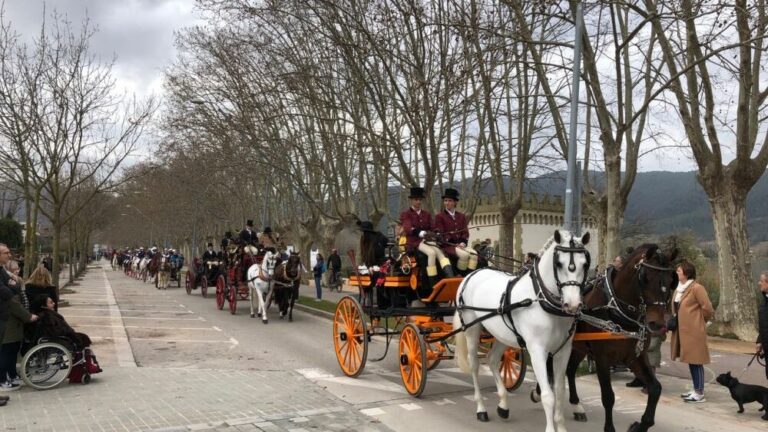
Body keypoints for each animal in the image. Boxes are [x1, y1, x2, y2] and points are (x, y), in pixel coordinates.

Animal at [452, 231, 592, 430]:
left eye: (585, 263)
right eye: (559, 263)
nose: (572, 304)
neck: (542, 300)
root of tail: (472, 274)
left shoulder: (563, 351)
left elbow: (559, 392)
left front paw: (562, 426)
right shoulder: (537, 351)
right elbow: (548, 396)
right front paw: (551, 428)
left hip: (502, 335)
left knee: (492, 360)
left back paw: (503, 404)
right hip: (472, 328)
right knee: (475, 365)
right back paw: (481, 408)